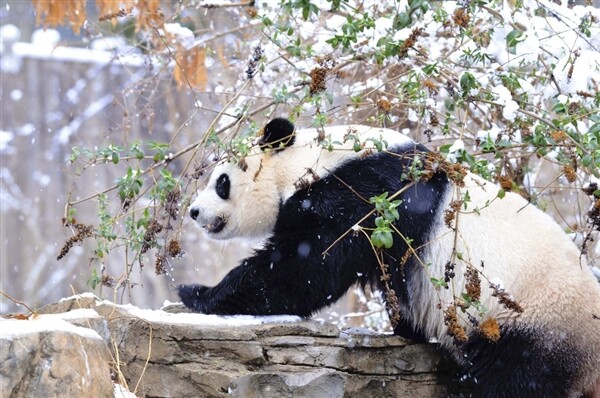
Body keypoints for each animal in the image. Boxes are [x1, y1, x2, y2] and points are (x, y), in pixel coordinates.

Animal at [179, 118, 600, 398]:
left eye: (221, 182)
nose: (195, 212)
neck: (307, 161)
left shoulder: (365, 198)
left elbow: (306, 267)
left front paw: (197, 293)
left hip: (529, 325)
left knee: (509, 380)